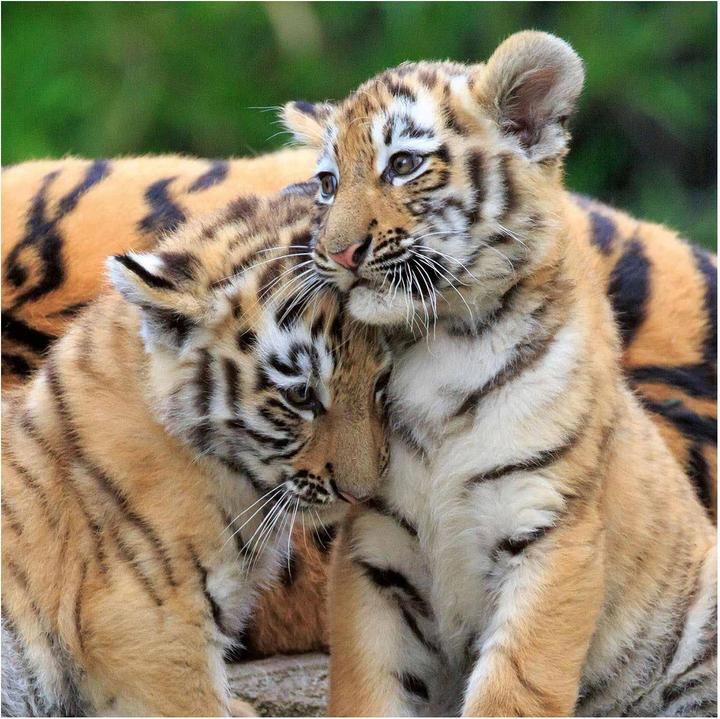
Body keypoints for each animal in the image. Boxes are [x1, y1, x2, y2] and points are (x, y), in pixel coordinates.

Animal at [279, 31, 718, 716]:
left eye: (402, 165)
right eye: (327, 183)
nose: (336, 253)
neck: (438, 343)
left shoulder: (551, 529)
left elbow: (516, 685)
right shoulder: (373, 551)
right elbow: (367, 687)